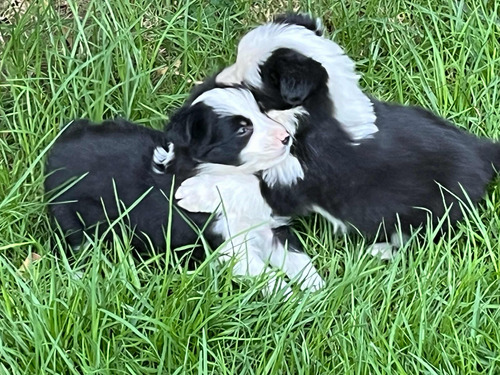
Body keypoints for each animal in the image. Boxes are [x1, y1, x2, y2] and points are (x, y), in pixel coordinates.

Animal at [45, 86, 322, 296]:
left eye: (262, 111)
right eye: (243, 130)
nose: (287, 137)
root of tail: (58, 146)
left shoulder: (268, 228)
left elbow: (298, 259)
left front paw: (317, 291)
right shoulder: (229, 249)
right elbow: (269, 278)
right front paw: (292, 300)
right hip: (72, 220)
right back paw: (79, 277)